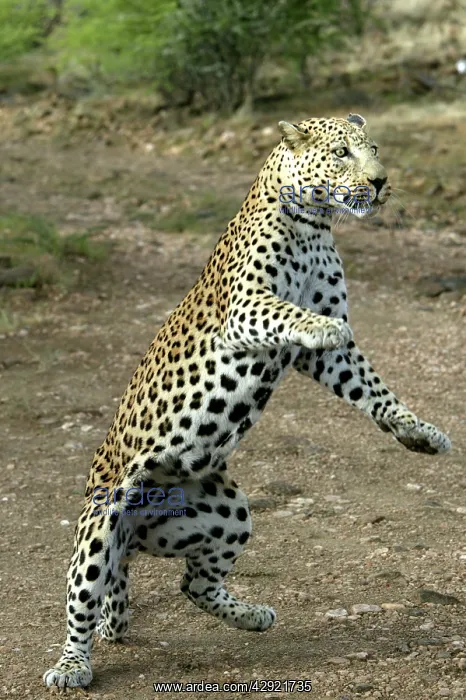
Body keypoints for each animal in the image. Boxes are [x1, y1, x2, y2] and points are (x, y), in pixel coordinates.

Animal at [44, 113, 451, 688]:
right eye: (343, 154)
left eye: (374, 148)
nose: (380, 181)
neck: (313, 226)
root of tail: (135, 540)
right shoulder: (245, 309)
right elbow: (291, 313)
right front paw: (322, 326)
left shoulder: (329, 359)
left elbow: (372, 387)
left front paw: (420, 433)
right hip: (100, 524)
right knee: (82, 601)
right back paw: (71, 665)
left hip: (230, 513)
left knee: (192, 583)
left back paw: (252, 615)